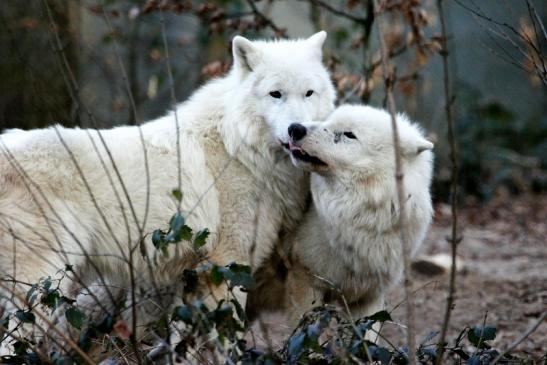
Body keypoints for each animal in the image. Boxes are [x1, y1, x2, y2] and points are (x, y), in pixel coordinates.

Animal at [0, 31, 334, 350]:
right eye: (275, 94)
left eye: (309, 93)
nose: (296, 128)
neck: (239, 149)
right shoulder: (227, 265)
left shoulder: (194, 277)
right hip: (41, 289)